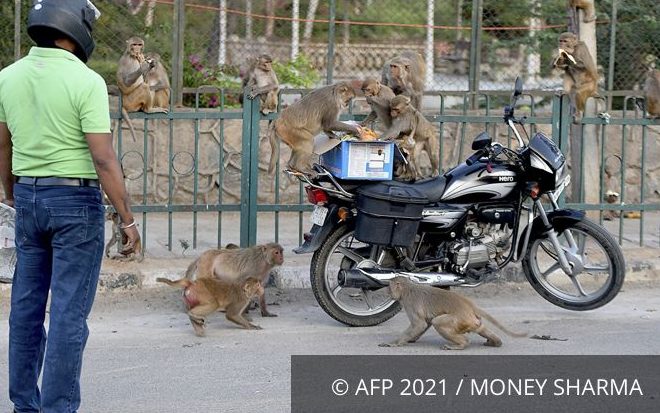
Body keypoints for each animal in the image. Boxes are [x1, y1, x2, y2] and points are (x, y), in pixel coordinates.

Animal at [382, 276, 524, 350]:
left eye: (389, 287)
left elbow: (420, 324)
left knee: (438, 322)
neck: (407, 289)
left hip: (461, 319)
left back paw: (462, 344)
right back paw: (496, 341)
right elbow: (425, 323)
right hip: (473, 321)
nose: (387, 292)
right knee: (481, 328)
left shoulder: (409, 303)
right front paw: (412, 338)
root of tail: (470, 305)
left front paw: (396, 343)